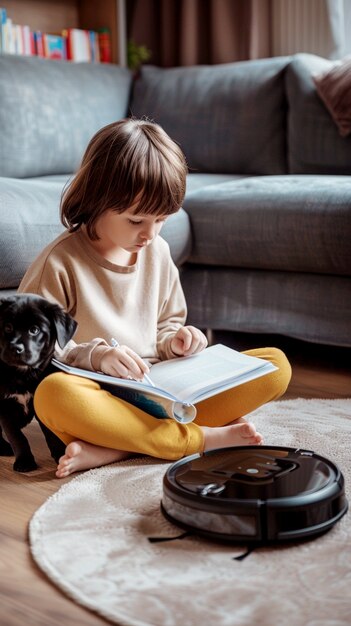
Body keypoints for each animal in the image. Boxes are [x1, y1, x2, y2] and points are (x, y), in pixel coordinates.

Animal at [0, 294, 76, 470]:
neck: (23, 375)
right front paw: (24, 461)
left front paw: (60, 454)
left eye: (34, 330)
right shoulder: (4, 407)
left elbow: (51, 433)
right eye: (7, 327)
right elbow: (17, 436)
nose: (15, 349)